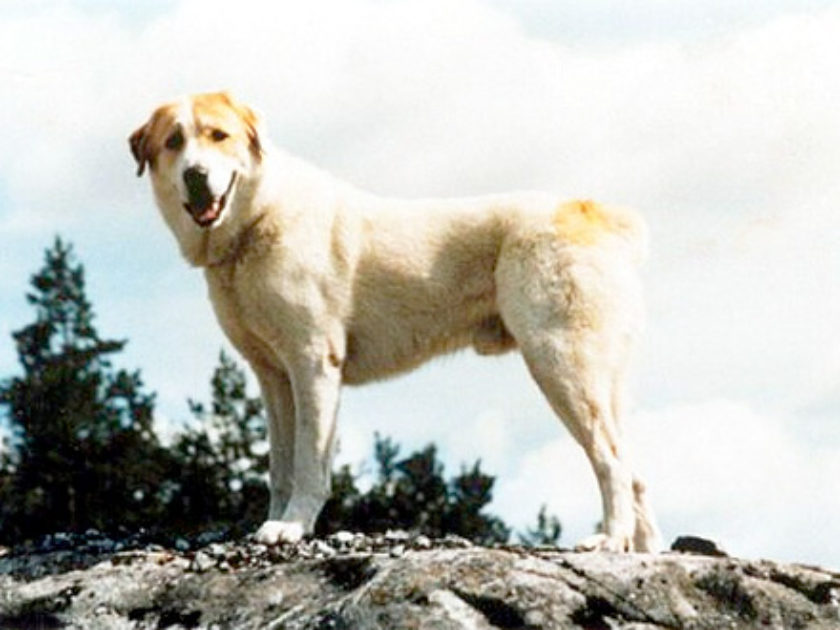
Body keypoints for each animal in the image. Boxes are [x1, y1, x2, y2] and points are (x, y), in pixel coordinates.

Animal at [128, 90, 664, 552]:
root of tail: (595, 212)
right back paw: (639, 552)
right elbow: (279, 464)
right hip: (600, 383)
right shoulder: (272, 376)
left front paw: (294, 526)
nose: (196, 175)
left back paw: (609, 540)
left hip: (562, 367)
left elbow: (308, 460)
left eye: (218, 135)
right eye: (174, 142)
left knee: (612, 463)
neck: (256, 221)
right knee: (636, 473)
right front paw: (272, 523)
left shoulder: (312, 364)